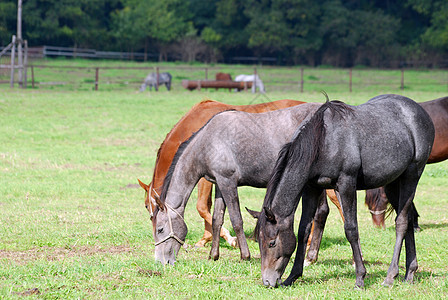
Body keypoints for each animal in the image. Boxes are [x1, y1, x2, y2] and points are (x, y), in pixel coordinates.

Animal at [256, 95, 434, 290]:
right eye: (259, 241)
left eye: (272, 242)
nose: (268, 281)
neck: (323, 141)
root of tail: (419, 111)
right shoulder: (311, 188)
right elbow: (304, 230)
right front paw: (292, 276)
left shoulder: (346, 184)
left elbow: (351, 229)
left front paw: (360, 278)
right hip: (393, 184)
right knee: (408, 219)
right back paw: (409, 273)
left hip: (411, 176)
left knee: (401, 222)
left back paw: (390, 276)